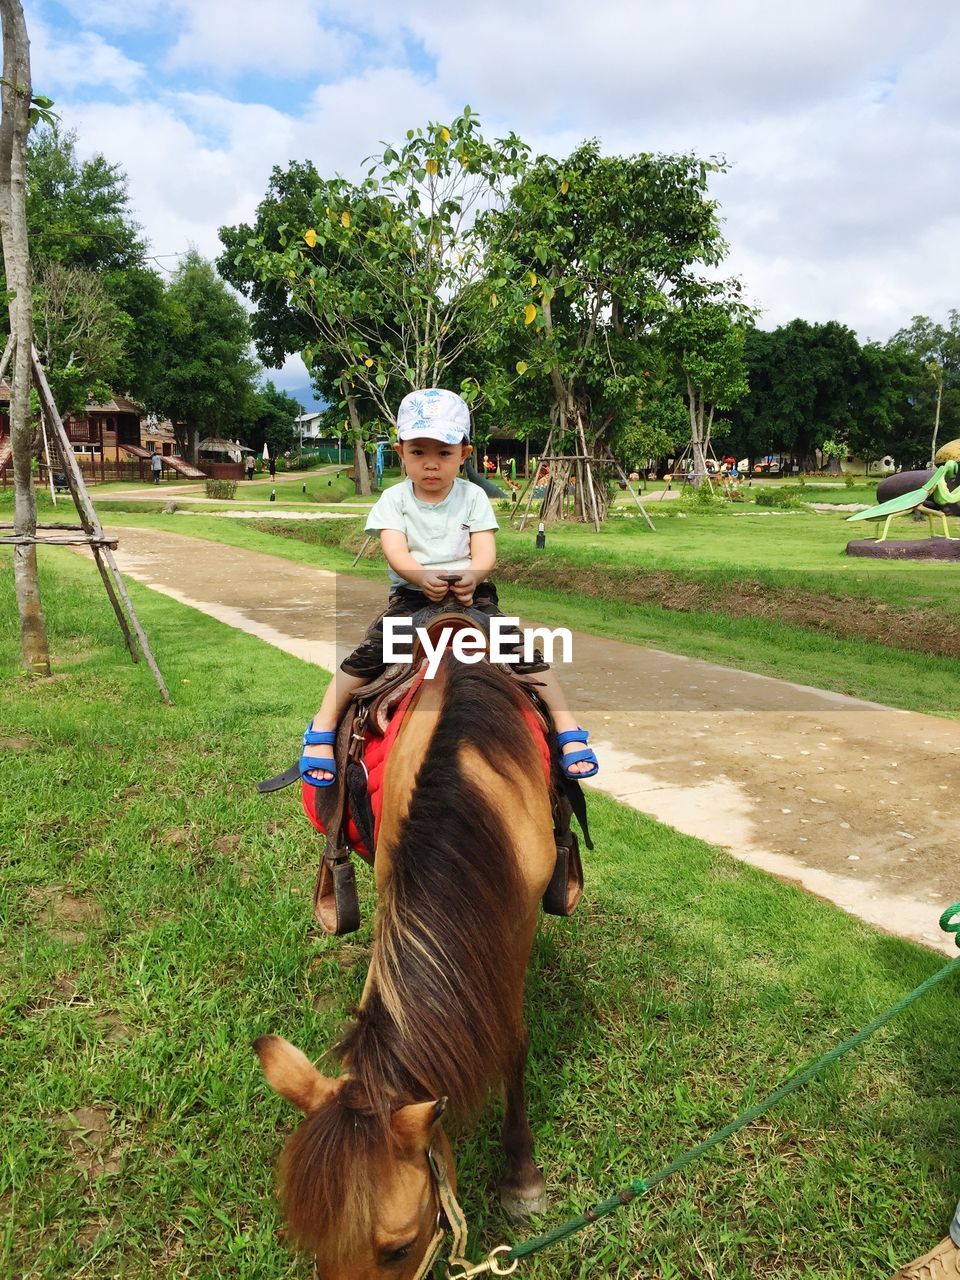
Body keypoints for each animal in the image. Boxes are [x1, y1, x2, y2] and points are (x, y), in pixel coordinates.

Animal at [256, 655, 555, 1274]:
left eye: (397, 1248)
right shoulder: (392, 885)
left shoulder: (519, 922)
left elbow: (513, 1043)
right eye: (314, 1242)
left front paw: (521, 1175)